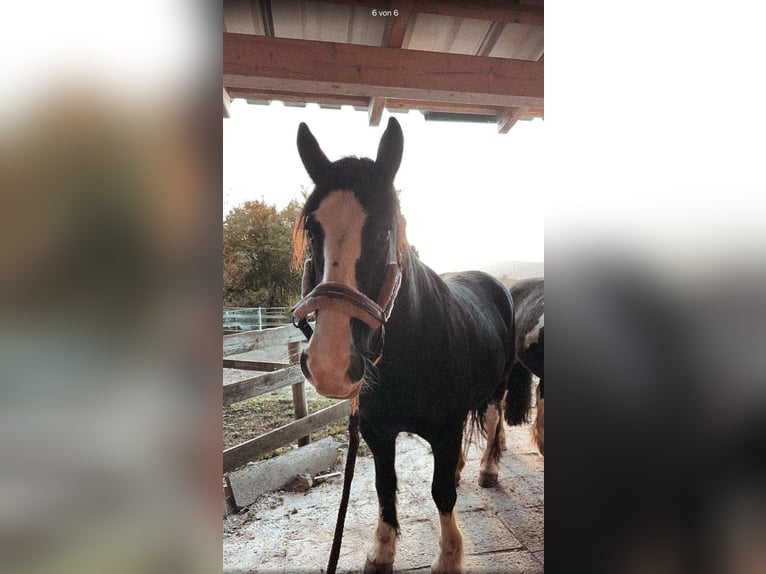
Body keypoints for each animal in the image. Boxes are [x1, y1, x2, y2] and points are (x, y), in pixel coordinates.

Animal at [292, 118, 532, 574]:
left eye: (385, 229)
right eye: (312, 229)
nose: (331, 363)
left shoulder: (443, 428)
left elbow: (440, 494)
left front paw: (449, 556)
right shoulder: (376, 431)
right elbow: (385, 485)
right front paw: (381, 551)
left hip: (497, 385)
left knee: (492, 421)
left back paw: (487, 469)